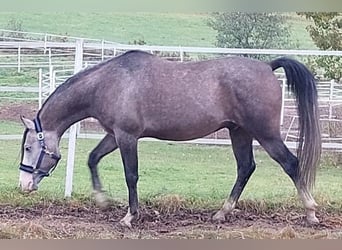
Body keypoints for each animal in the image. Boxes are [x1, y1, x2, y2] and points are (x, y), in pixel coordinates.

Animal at [18, 49, 322, 228]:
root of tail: (268, 66)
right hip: (239, 132)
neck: (109, 83)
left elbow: (131, 175)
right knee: (245, 167)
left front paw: (129, 216)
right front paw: (102, 200)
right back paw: (221, 213)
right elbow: (93, 159)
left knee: (290, 164)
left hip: (265, 133)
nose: (23, 185)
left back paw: (311, 212)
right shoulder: (114, 135)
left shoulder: (127, 137)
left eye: (30, 147)